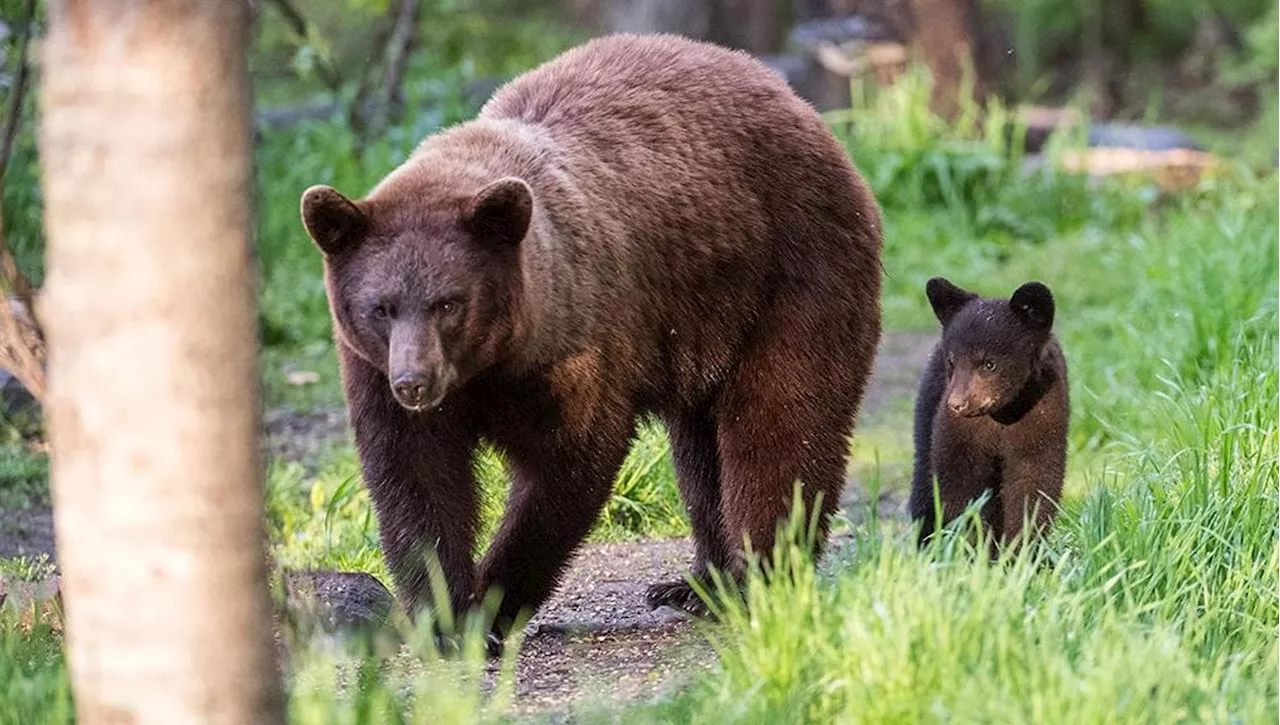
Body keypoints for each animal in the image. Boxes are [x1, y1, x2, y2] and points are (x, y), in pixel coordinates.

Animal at [298, 31, 880, 645]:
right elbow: (416, 479)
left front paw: (494, 602)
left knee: (779, 426)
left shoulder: (573, 344)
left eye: (449, 302)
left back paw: (761, 580)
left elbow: (567, 465)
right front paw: (445, 615)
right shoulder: (376, 373)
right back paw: (698, 584)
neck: (488, 366)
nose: (415, 381)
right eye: (381, 307)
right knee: (701, 456)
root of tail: (803, 107)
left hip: (789, 275)